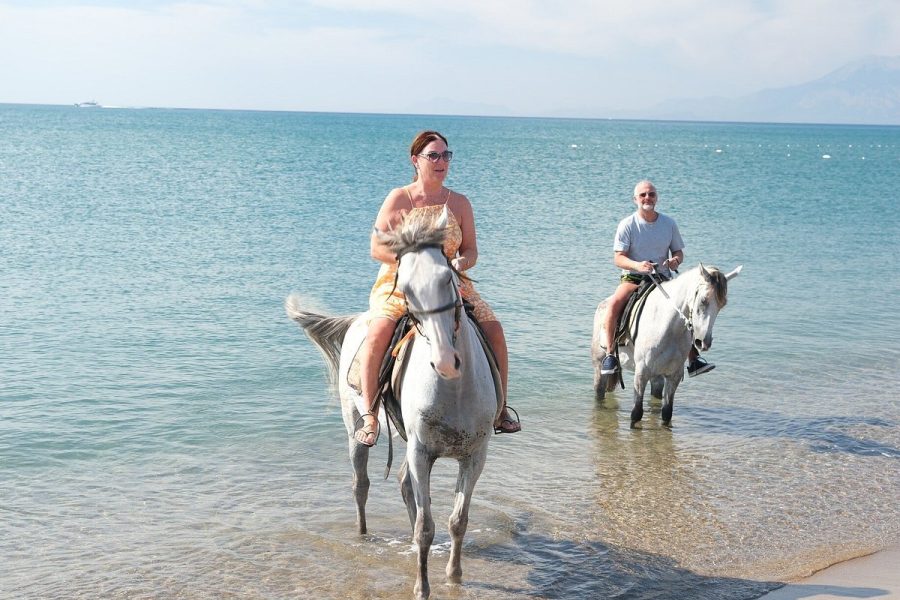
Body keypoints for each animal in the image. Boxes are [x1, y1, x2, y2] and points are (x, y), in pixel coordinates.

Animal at [286, 207, 500, 600]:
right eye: (407, 289)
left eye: (448, 278)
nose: (446, 362)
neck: (455, 390)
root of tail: (358, 320)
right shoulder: (421, 451)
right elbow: (426, 527)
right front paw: (422, 587)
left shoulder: (474, 455)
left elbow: (457, 521)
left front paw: (454, 575)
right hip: (358, 433)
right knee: (361, 485)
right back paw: (362, 535)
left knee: (402, 484)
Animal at [592, 264, 740, 428]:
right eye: (703, 300)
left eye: (722, 305)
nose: (703, 342)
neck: (668, 326)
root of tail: (602, 305)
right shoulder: (641, 373)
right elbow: (636, 413)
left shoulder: (673, 375)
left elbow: (667, 413)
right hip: (599, 365)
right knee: (599, 392)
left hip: (657, 376)